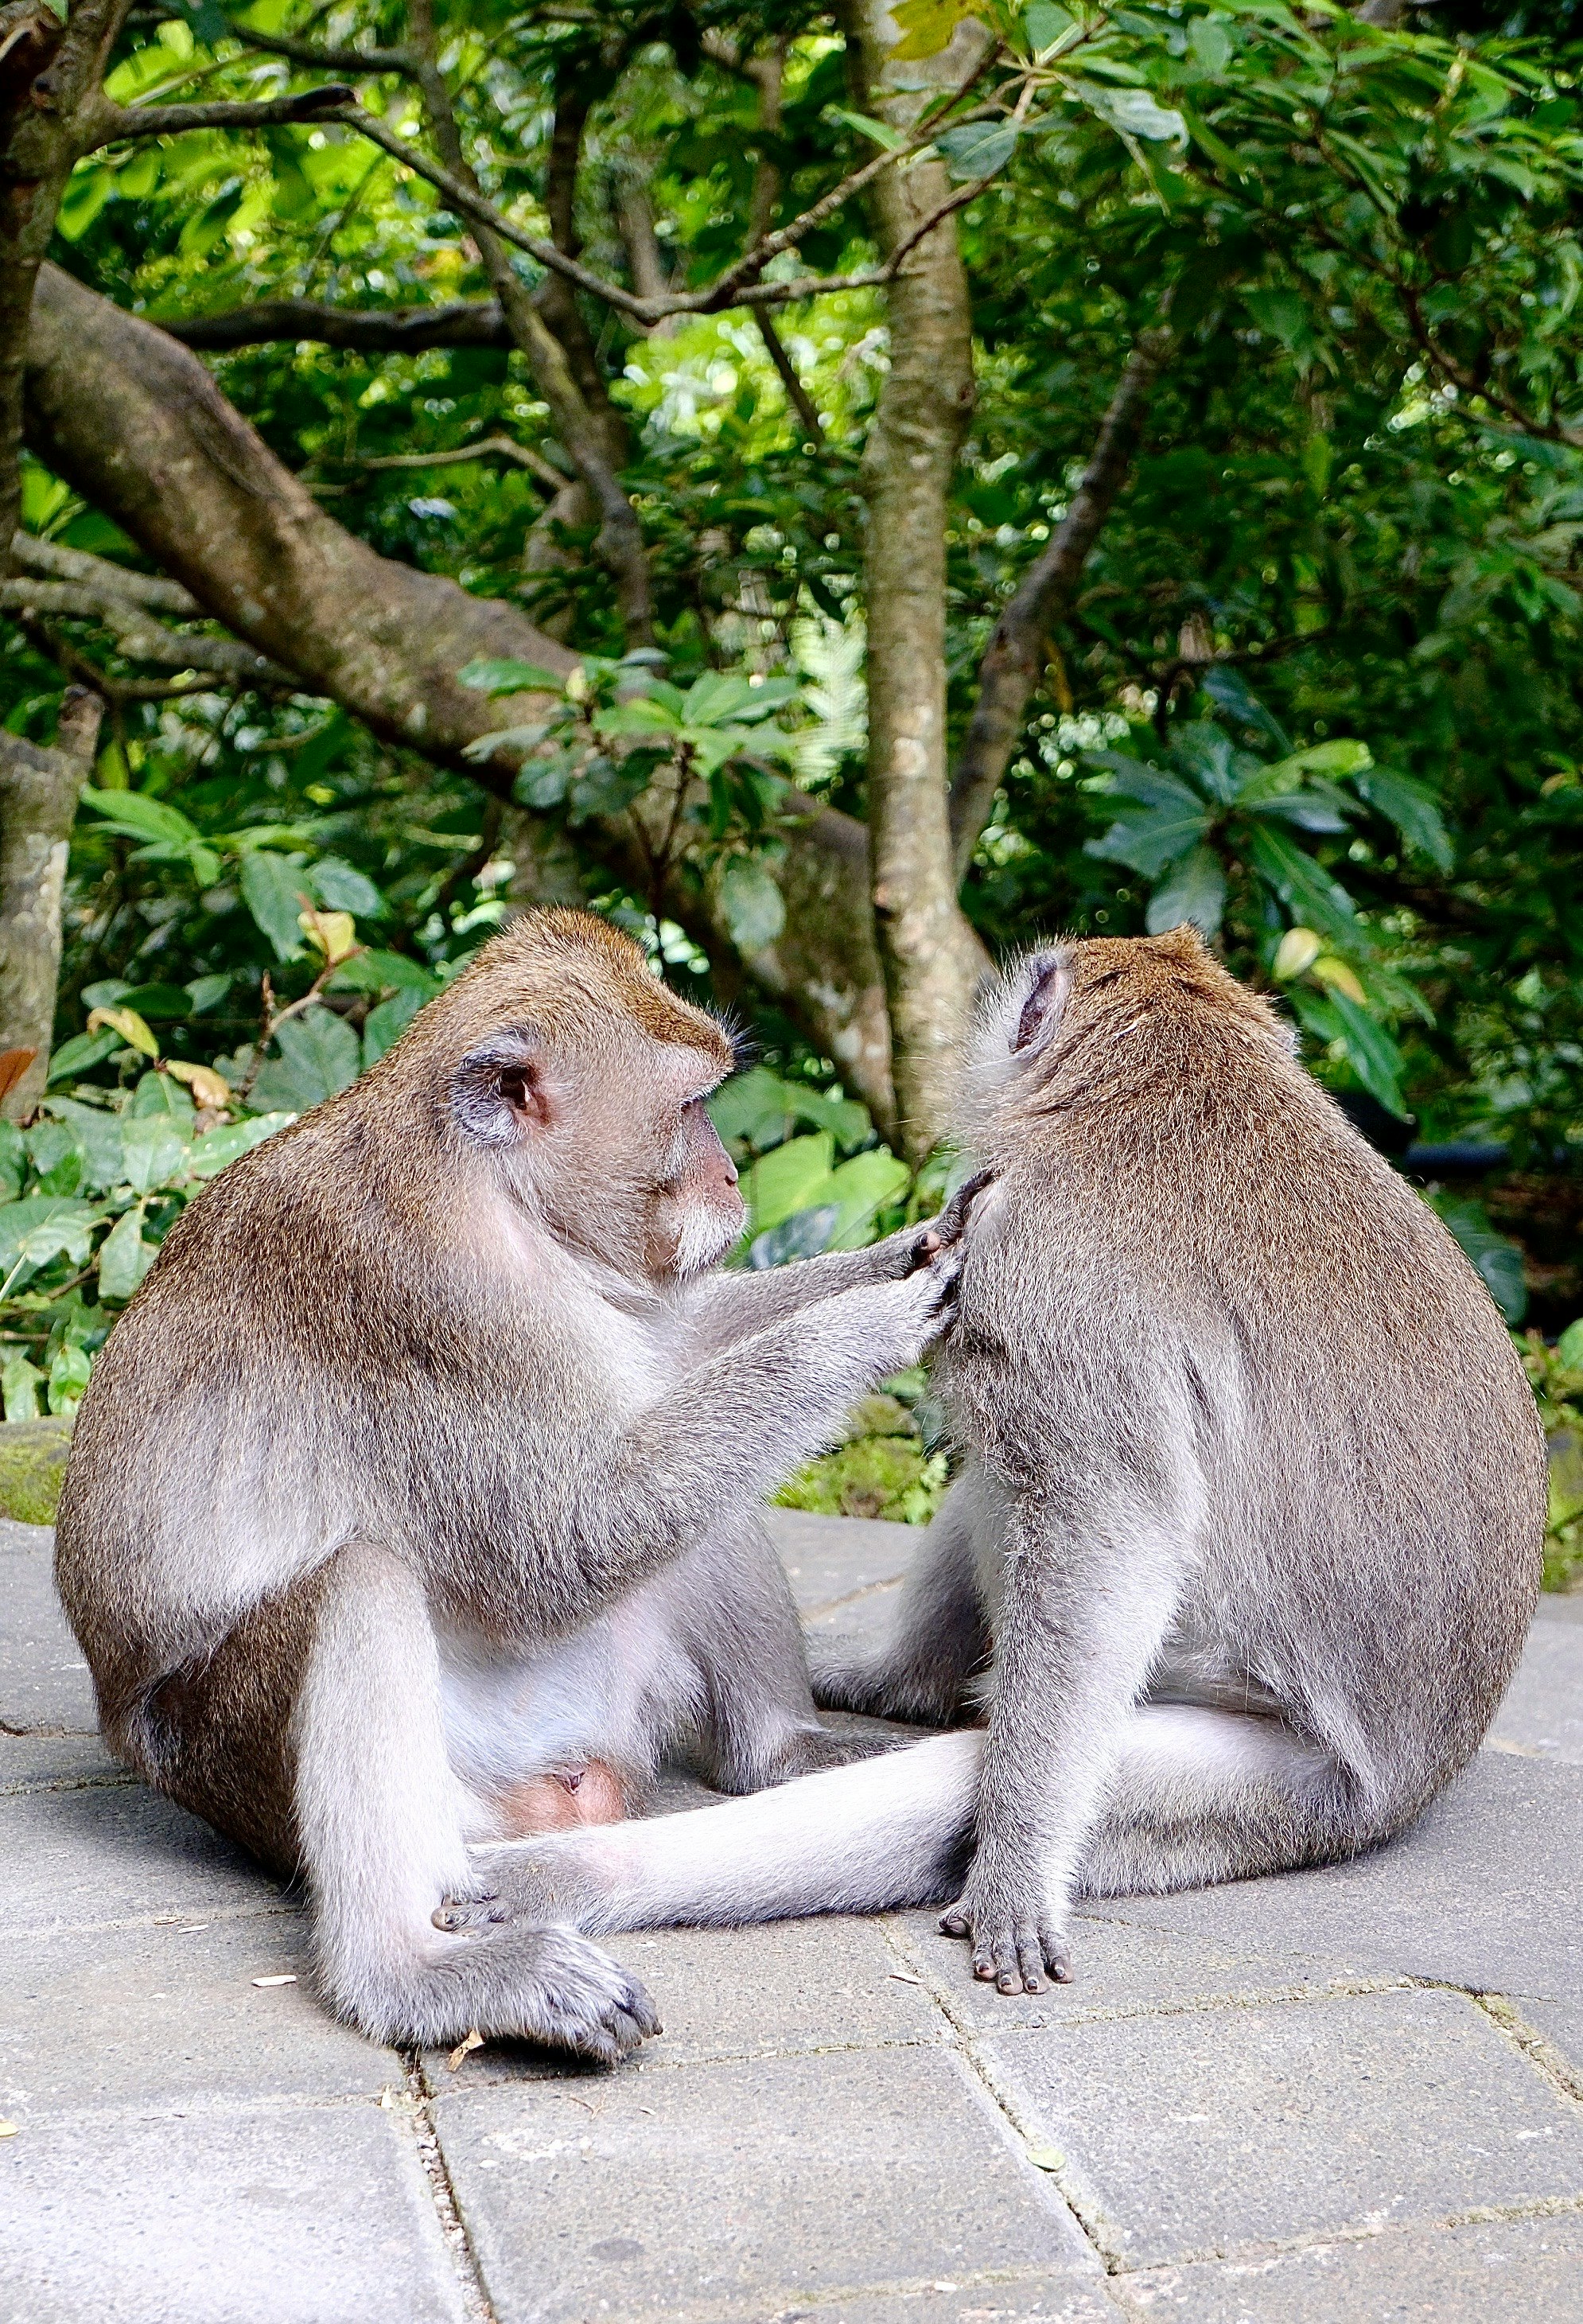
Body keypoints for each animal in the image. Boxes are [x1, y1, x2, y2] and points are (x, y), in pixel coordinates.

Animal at [54, 908, 966, 2063]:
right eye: (690, 1105)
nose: (728, 1181)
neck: (498, 1193)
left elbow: (666, 1359)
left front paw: (914, 1243)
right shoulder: (430, 1305)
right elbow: (560, 1544)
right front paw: (865, 1325)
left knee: (690, 1490)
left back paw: (787, 1754)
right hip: (257, 1765)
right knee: (366, 1582)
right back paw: (422, 1975)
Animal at [441, 927, 1546, 2013]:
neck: (1167, 1086)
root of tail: (1410, 1790)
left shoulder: (1037, 1267)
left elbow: (1105, 1529)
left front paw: (1014, 1870)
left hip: (1274, 1786)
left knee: (962, 1756)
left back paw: (568, 1874)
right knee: (990, 1483)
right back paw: (903, 1686)